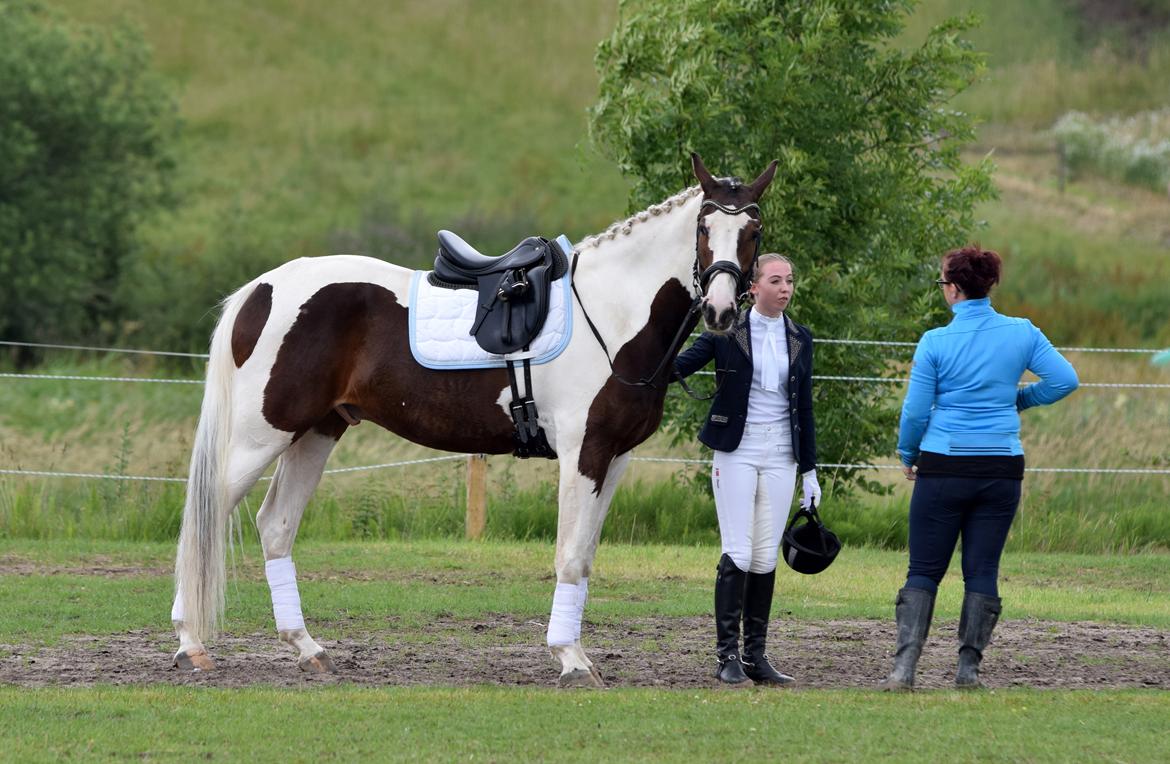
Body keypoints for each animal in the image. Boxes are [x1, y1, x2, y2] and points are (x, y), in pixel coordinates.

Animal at [170, 153, 776, 683]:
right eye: (704, 228)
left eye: (754, 230)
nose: (722, 312)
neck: (609, 314)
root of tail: (262, 289)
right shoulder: (583, 453)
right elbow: (569, 557)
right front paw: (571, 661)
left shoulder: (615, 459)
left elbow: (585, 557)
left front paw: (576, 653)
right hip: (260, 436)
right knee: (205, 516)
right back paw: (190, 642)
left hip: (316, 432)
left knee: (275, 525)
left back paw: (307, 649)